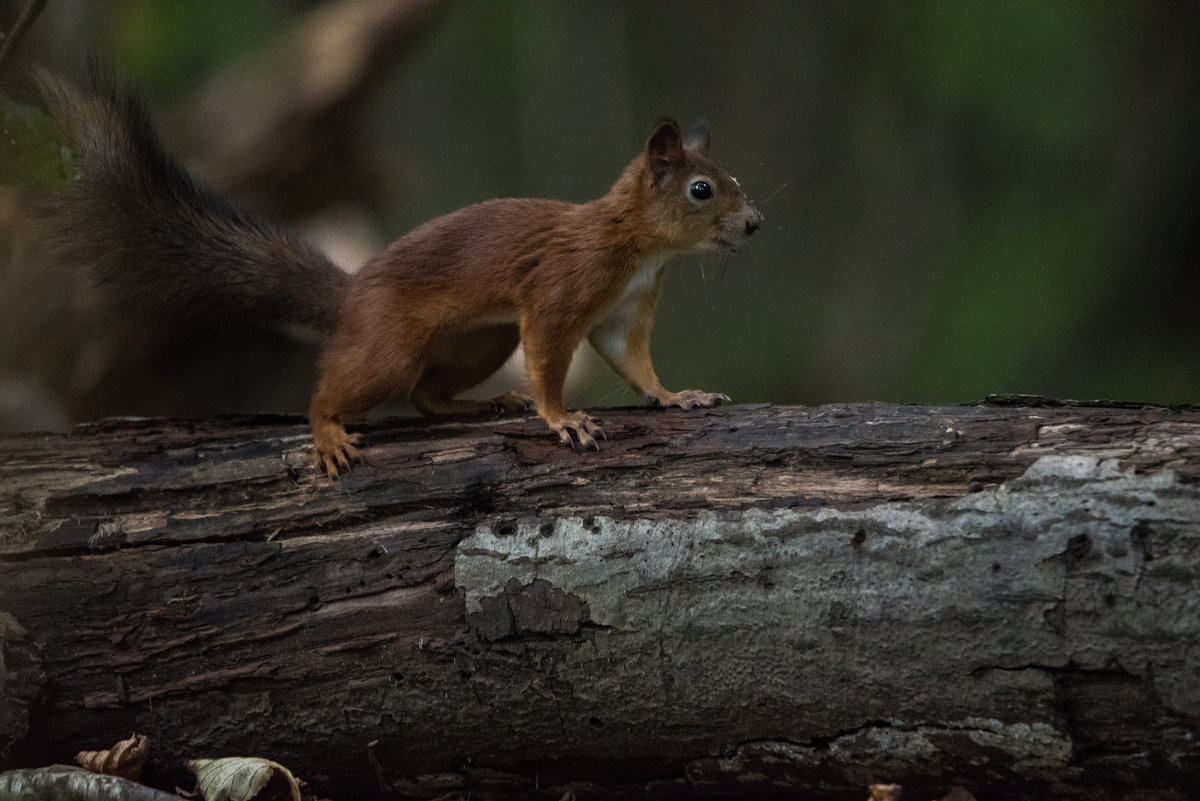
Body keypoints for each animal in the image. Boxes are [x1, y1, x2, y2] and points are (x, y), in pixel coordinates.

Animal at [32, 71, 763, 472]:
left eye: (735, 180)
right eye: (702, 190)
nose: (756, 223)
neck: (642, 249)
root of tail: (352, 294)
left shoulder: (622, 312)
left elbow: (633, 363)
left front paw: (677, 396)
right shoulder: (560, 291)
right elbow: (551, 356)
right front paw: (562, 419)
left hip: (480, 338)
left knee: (426, 395)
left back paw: (485, 402)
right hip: (390, 346)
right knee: (344, 388)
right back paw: (327, 430)